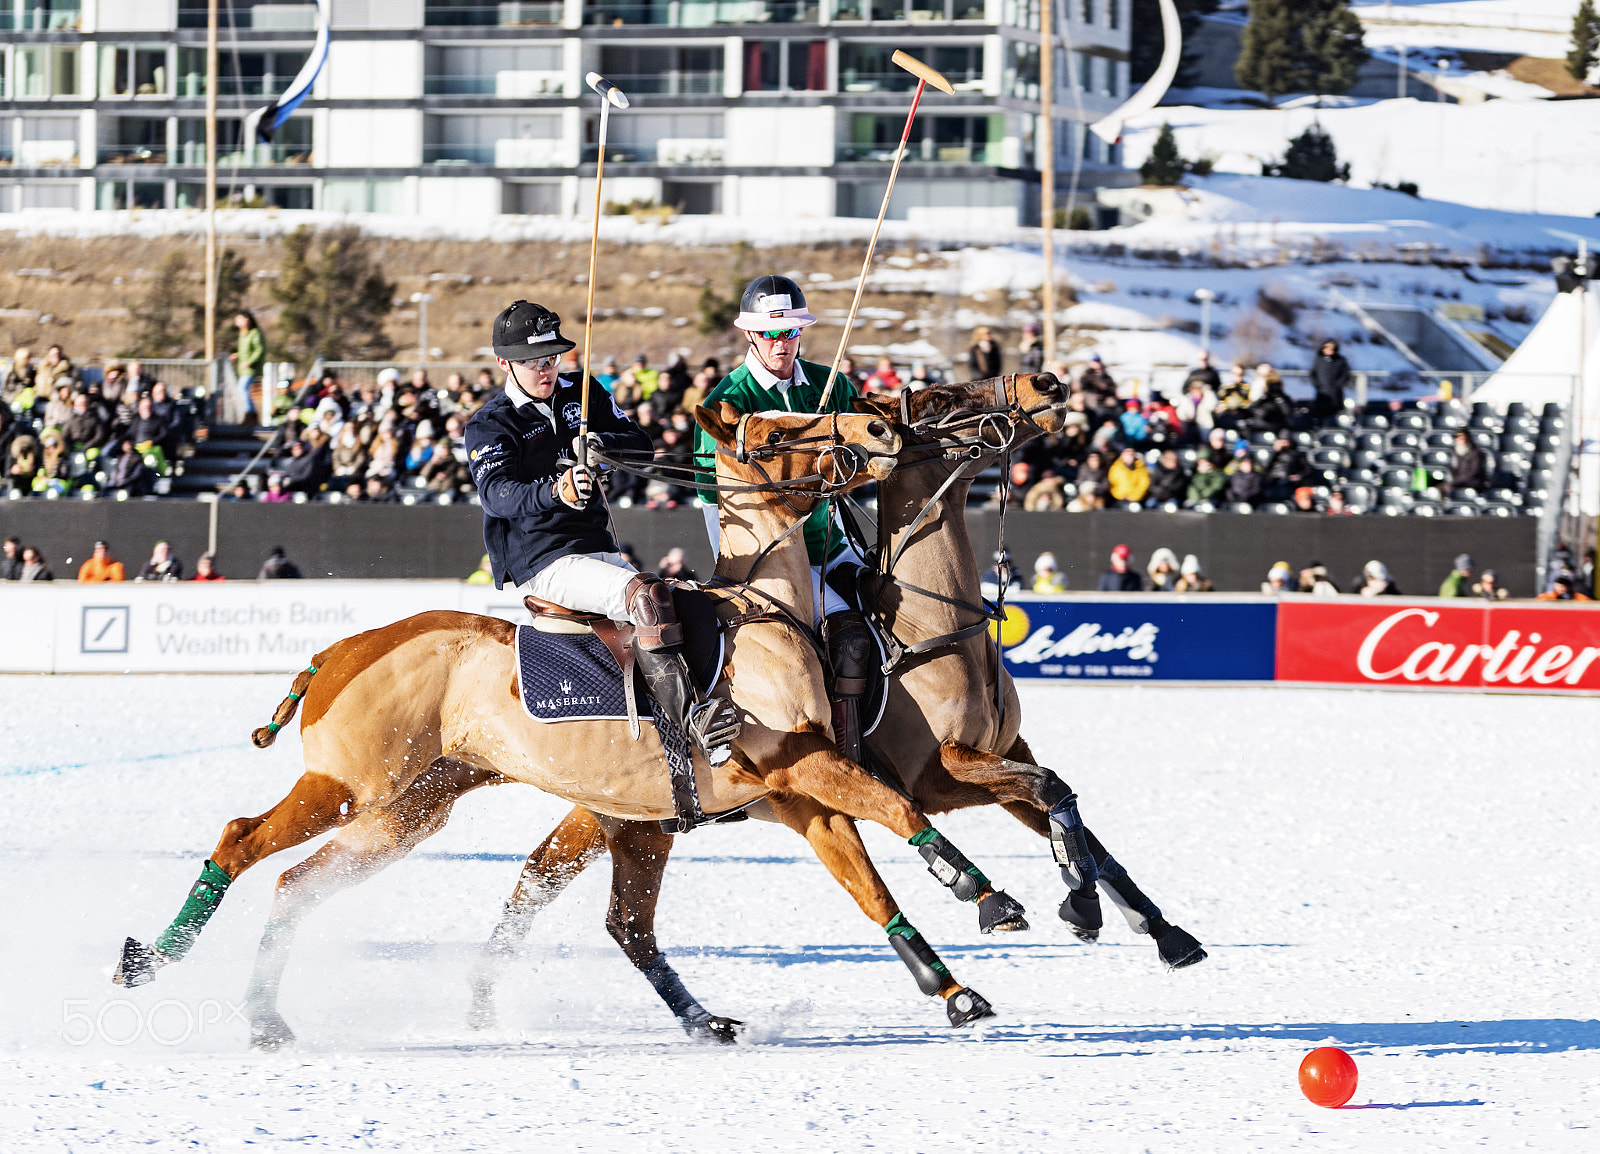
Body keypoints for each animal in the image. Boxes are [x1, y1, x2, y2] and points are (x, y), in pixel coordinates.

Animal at [116, 403, 1011, 1043]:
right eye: (773, 430)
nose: (879, 428)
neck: (768, 613)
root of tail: (339, 646)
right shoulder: (797, 769)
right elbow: (899, 806)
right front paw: (984, 892)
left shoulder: (802, 791)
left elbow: (872, 874)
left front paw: (957, 986)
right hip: (351, 781)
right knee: (241, 839)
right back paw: (153, 963)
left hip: (413, 810)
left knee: (301, 883)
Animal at [467, 372, 1203, 1024]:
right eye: (939, 399)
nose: (1046, 384)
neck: (936, 629)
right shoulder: (940, 773)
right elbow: (1044, 790)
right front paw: (1066, 907)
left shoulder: (1003, 753)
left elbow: (1071, 812)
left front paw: (1155, 928)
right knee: (542, 881)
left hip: (632, 814)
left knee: (550, 881)